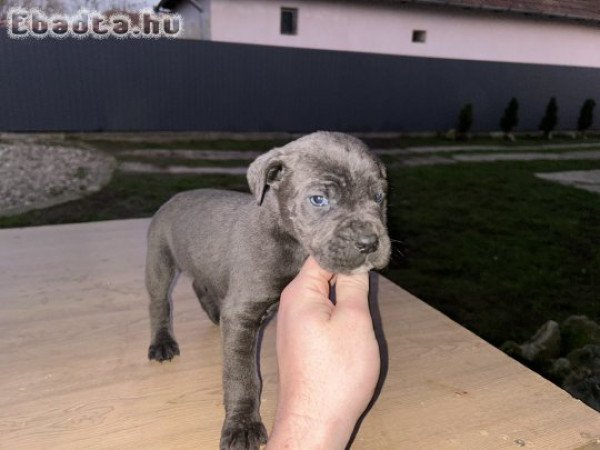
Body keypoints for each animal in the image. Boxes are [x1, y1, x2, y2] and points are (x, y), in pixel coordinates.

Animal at [145, 131, 390, 450]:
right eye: (319, 199)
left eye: (379, 197)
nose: (369, 242)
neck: (290, 242)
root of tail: (173, 198)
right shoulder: (242, 315)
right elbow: (243, 376)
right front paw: (242, 426)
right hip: (160, 261)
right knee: (159, 302)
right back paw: (162, 341)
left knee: (200, 283)